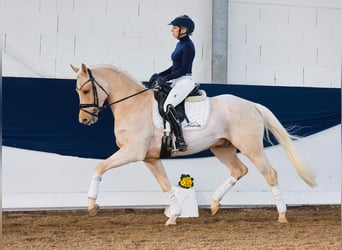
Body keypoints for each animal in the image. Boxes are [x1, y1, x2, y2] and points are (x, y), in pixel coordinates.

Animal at [69, 63, 316, 226]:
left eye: (86, 90)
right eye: (78, 91)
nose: (84, 120)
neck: (133, 104)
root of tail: (251, 104)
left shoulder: (132, 152)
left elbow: (99, 166)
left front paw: (91, 205)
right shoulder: (150, 158)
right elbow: (165, 186)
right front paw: (174, 214)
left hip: (251, 147)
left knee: (270, 173)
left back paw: (282, 215)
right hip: (222, 147)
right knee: (239, 169)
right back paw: (215, 204)